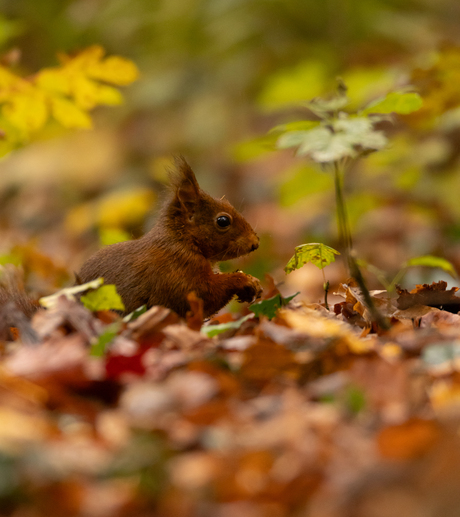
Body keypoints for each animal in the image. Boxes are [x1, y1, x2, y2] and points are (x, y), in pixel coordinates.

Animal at [79, 157, 262, 318]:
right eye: (223, 221)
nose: (255, 243)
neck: (183, 241)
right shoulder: (176, 273)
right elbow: (202, 295)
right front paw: (243, 280)